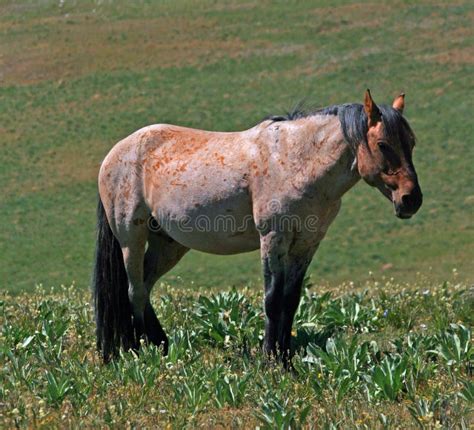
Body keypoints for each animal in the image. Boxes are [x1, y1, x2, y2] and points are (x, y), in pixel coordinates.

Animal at [91, 90, 422, 362]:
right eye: (383, 144)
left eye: (412, 142)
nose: (412, 199)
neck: (298, 160)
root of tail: (114, 154)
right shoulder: (273, 238)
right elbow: (273, 299)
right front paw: (271, 360)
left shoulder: (306, 243)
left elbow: (291, 300)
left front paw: (284, 358)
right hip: (131, 237)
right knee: (134, 290)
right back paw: (137, 351)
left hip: (168, 244)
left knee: (145, 287)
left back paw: (160, 345)